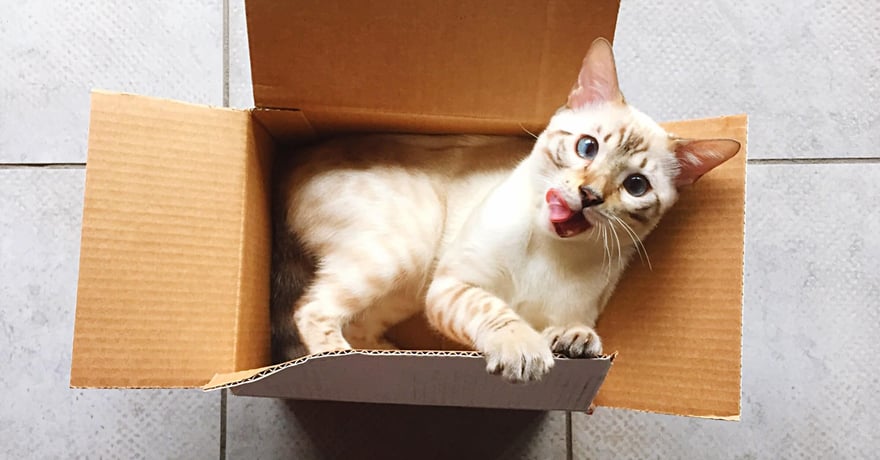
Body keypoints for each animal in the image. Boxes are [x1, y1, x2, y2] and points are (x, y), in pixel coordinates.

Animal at [272, 37, 740, 382]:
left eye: (636, 186)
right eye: (587, 147)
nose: (590, 195)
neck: (553, 253)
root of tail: (294, 161)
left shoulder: (570, 310)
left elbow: (569, 328)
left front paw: (573, 341)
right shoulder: (452, 288)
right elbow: (497, 312)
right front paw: (524, 350)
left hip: (406, 285)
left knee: (357, 324)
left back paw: (392, 356)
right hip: (407, 250)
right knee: (311, 309)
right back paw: (342, 359)